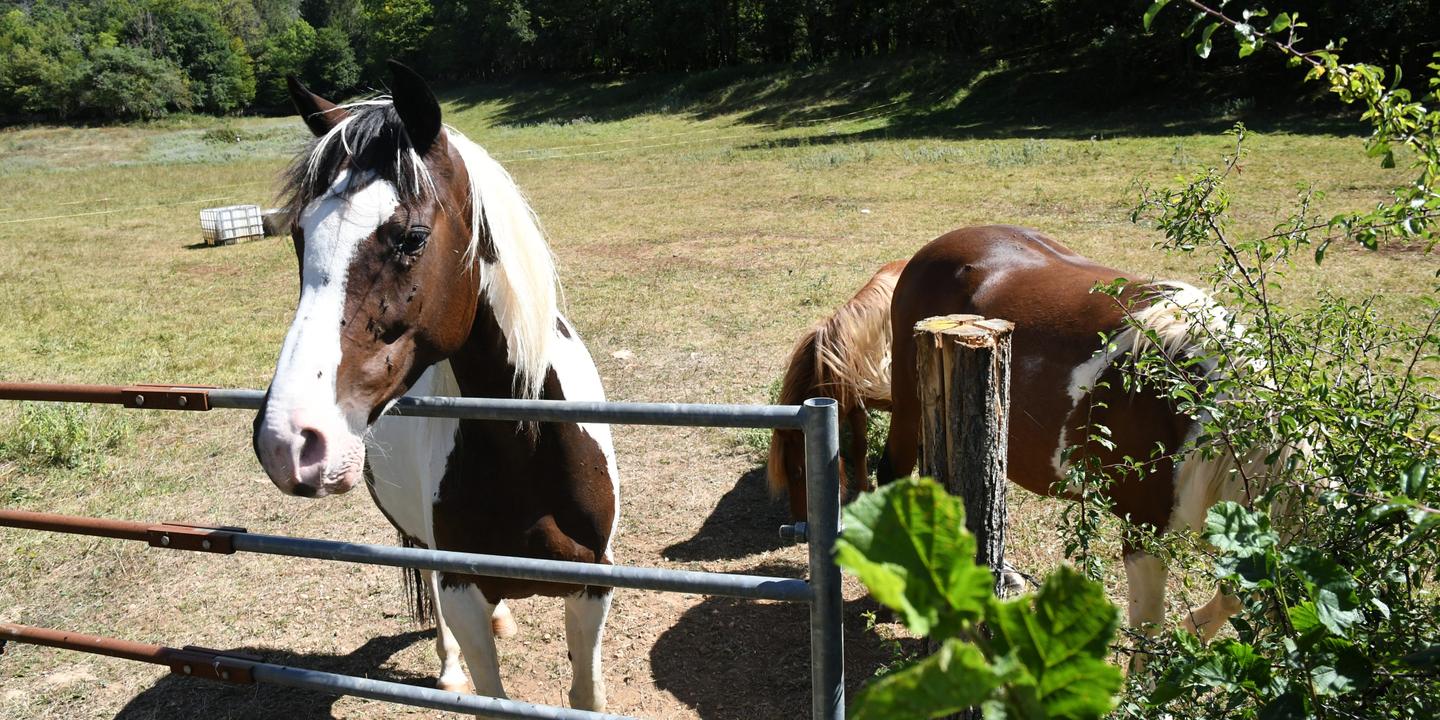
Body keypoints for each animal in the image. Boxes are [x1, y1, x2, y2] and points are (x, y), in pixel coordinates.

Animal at [250, 62, 620, 712]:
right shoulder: (461, 587)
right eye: (298, 236)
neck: (525, 450)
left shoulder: (591, 586)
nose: (287, 440)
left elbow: (587, 696)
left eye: (411, 238)